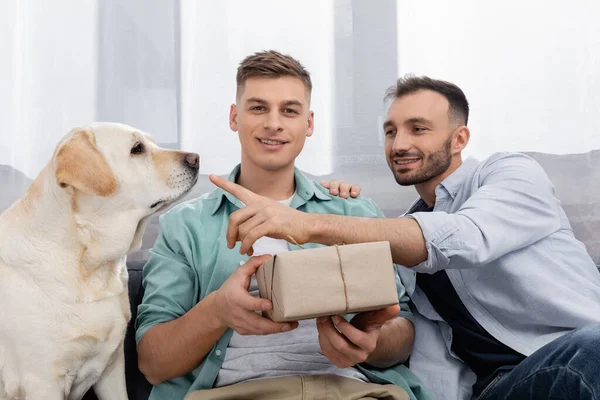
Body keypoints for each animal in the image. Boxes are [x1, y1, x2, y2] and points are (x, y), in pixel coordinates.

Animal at [0, 123, 200, 398]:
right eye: (137, 149)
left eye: (151, 142)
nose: (196, 159)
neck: (90, 268)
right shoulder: (42, 381)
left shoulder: (112, 368)